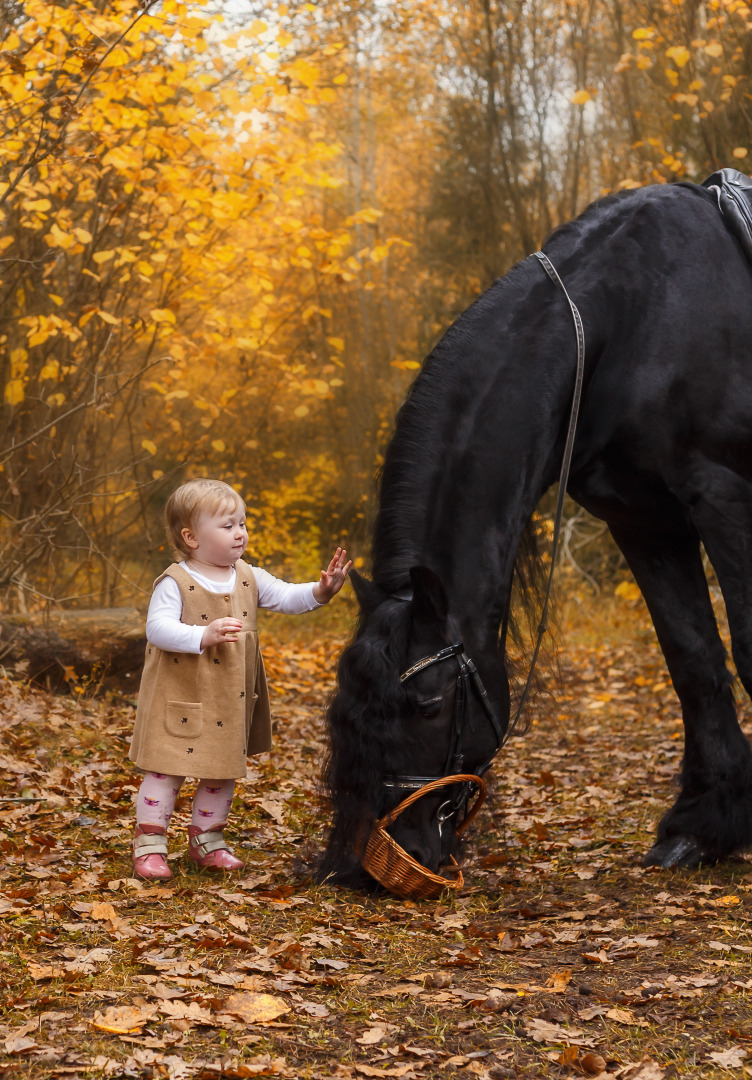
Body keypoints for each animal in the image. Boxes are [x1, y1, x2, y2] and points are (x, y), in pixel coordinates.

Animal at [319, 168, 751, 881]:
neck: (636, 321)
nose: (379, 860)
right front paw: (703, 827)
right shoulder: (644, 521)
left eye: (428, 705)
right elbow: (693, 660)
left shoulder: (726, 497)